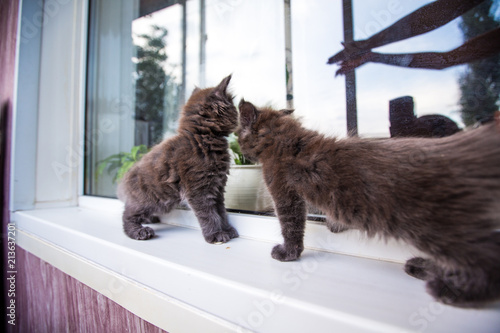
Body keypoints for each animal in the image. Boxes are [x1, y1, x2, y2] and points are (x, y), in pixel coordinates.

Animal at [119, 75, 240, 243]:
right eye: (233, 107)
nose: (239, 114)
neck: (202, 138)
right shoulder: (198, 189)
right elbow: (209, 214)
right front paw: (215, 234)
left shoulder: (218, 187)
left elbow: (221, 212)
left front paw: (227, 229)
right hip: (151, 200)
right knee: (127, 214)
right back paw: (139, 231)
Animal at [237, 100, 500, 308]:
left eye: (238, 133)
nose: (237, 145)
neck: (284, 141)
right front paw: (335, 226)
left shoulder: (285, 195)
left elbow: (291, 227)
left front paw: (288, 253)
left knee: (486, 263)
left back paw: (450, 291)